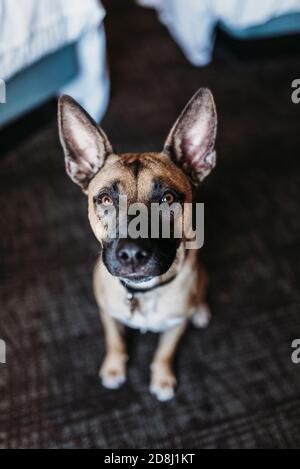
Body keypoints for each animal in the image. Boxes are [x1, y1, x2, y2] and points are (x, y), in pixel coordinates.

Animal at [58, 89, 218, 400]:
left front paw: (162, 379)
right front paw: (113, 369)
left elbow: (164, 352)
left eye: (167, 198)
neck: (142, 293)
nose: (132, 253)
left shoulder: (176, 326)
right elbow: (115, 342)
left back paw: (201, 311)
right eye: (105, 199)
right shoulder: (107, 314)